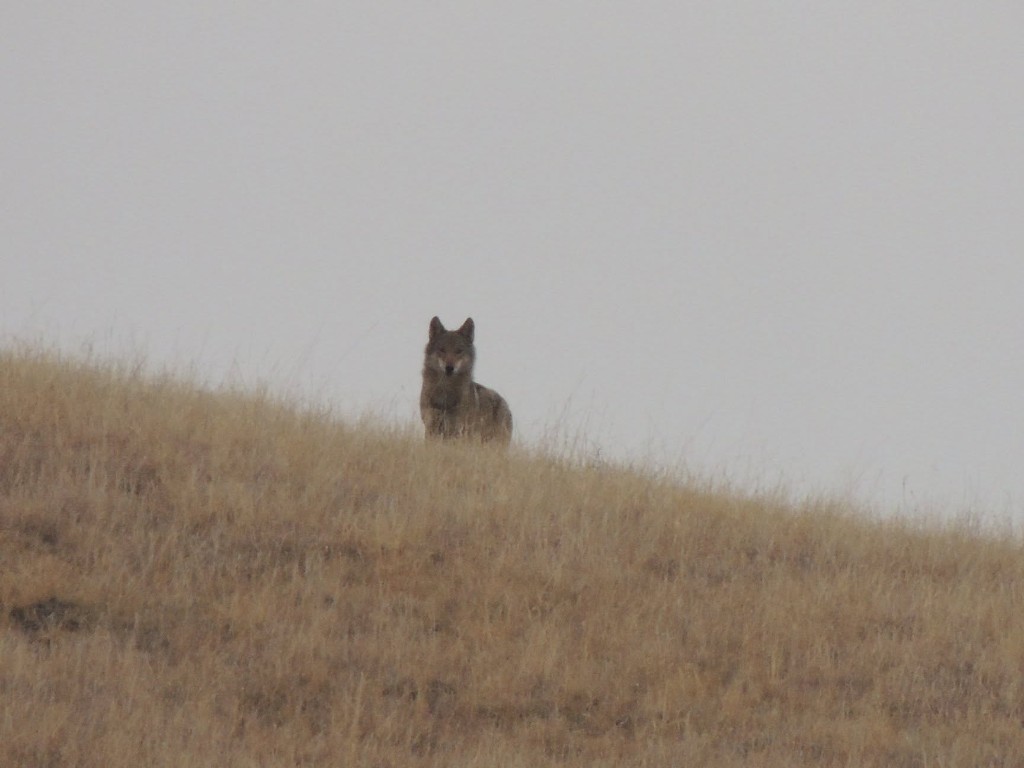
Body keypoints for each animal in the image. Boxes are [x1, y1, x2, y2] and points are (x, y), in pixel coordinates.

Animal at [420, 316, 513, 447]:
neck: (445, 394)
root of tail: (505, 403)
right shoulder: (431, 427)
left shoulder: (456, 429)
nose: (449, 368)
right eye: (442, 350)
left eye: (459, 351)